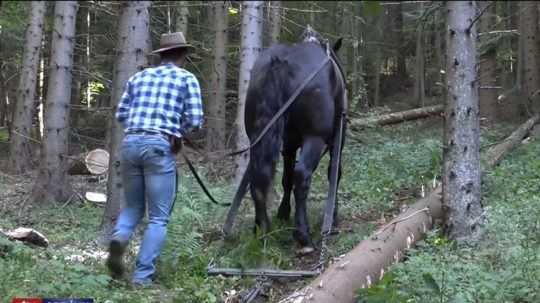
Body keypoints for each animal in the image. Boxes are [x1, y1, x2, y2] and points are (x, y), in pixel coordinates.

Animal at [227, 27, 346, 252]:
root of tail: (280, 62)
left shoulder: (288, 146)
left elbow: (285, 179)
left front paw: (283, 212)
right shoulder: (337, 142)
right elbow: (333, 174)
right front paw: (333, 217)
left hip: (258, 136)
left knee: (259, 179)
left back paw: (262, 229)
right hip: (315, 138)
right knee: (302, 175)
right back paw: (303, 236)